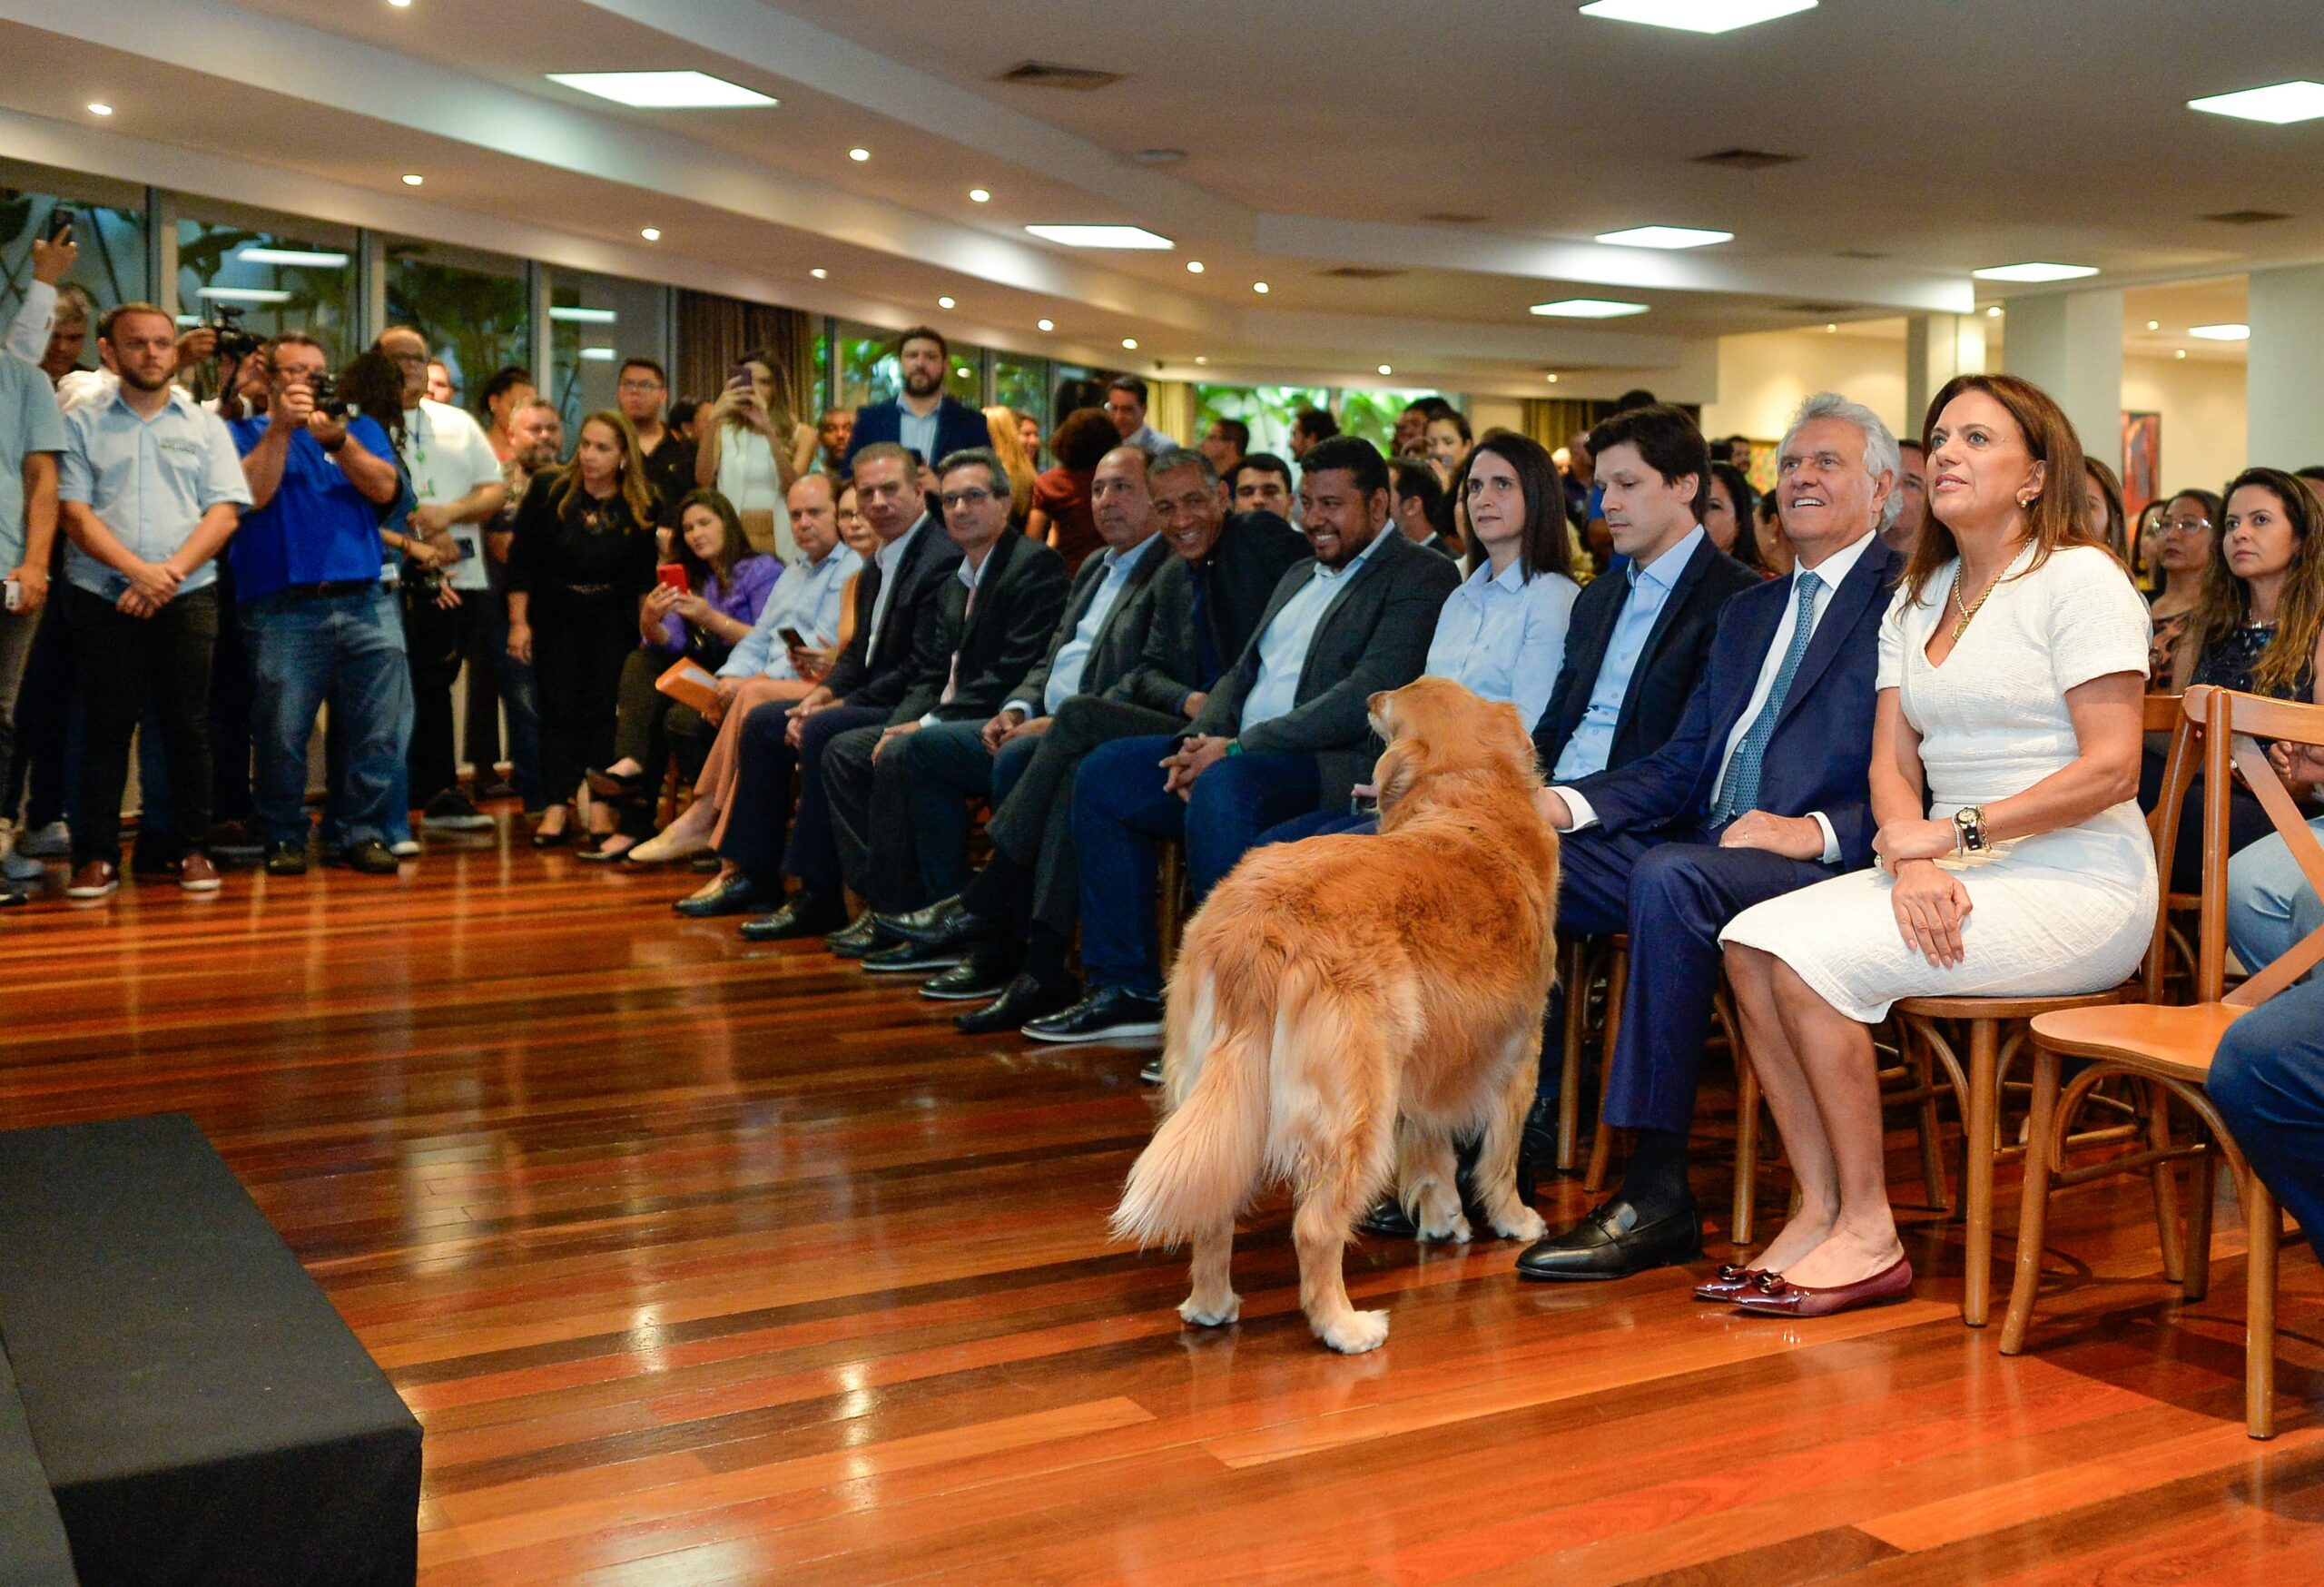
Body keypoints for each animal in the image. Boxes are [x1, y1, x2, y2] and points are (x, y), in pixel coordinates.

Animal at [1111, 676, 1561, 1353]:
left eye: (1397, 698)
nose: (1372, 694)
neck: (1467, 793)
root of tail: (1260, 925)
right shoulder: (1518, 1053)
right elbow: (1498, 1158)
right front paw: (1513, 1219)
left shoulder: (1428, 1067)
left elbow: (1433, 1154)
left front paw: (1443, 1220)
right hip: (1356, 1104)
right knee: (1317, 1226)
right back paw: (1344, 1327)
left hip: (1218, 1094)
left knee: (1214, 1210)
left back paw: (1212, 1306)